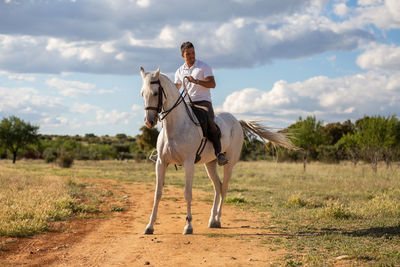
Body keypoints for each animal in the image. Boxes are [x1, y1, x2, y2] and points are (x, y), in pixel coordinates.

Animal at [139, 67, 296, 237]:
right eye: (142, 93)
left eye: (156, 93)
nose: (149, 121)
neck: (175, 126)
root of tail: (236, 121)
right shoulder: (161, 163)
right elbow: (157, 193)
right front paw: (150, 226)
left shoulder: (188, 164)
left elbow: (188, 193)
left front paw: (188, 226)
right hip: (210, 164)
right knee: (217, 187)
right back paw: (212, 220)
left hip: (229, 164)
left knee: (224, 187)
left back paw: (218, 219)